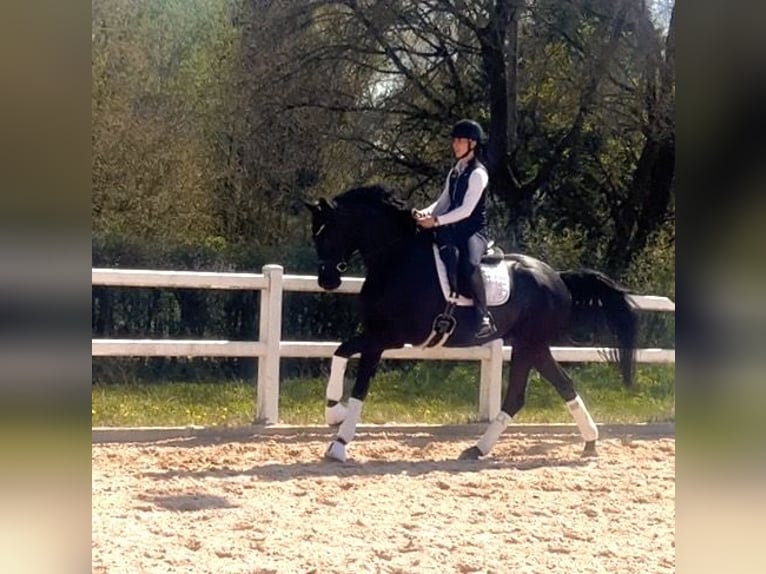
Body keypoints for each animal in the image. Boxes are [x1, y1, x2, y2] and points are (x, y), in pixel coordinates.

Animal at [304, 185, 637, 462]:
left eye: (328, 233)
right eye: (315, 236)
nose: (327, 280)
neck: (397, 259)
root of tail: (557, 278)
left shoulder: (388, 337)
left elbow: (359, 385)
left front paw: (339, 443)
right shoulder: (376, 334)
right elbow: (340, 351)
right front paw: (333, 411)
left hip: (529, 344)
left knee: (519, 395)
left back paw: (481, 447)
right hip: (534, 345)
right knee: (560, 386)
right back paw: (585, 443)